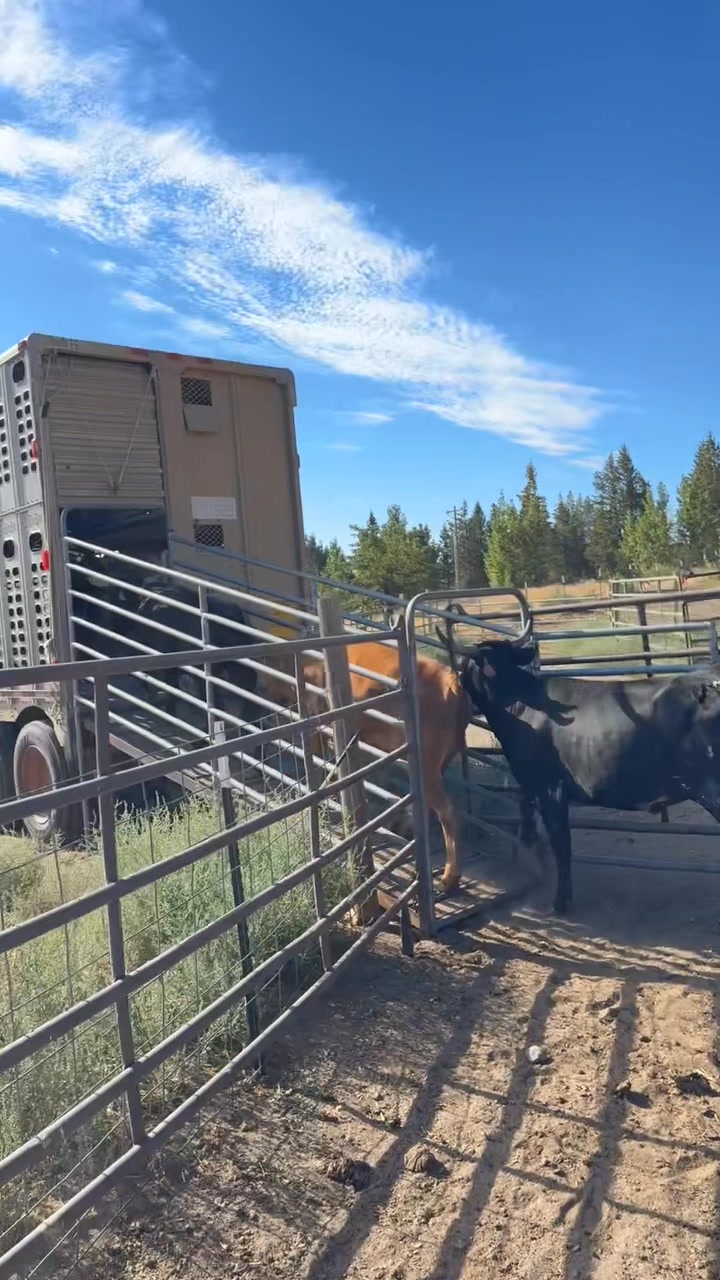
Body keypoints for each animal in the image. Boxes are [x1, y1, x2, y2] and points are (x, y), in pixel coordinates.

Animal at [257, 639, 471, 891]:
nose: (262, 686)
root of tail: (451, 680)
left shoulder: (321, 725)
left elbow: (321, 768)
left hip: (426, 761)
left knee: (447, 813)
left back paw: (448, 878)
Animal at [436, 631, 720, 915]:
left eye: (465, 665)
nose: (455, 687)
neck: (521, 705)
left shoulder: (551, 788)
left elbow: (561, 845)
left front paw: (561, 902)